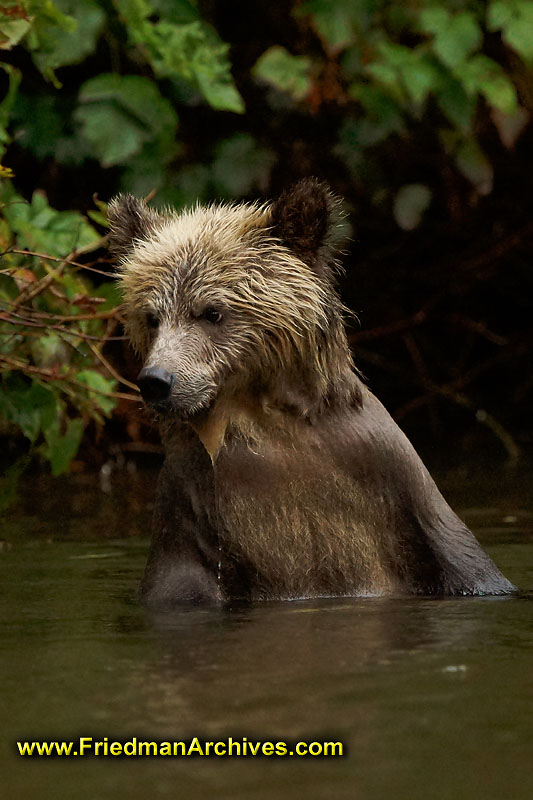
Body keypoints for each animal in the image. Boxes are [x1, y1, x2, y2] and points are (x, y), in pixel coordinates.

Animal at [107, 180, 512, 608]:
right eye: (152, 316)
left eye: (211, 311)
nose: (157, 380)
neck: (258, 419)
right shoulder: (188, 507)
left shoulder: (387, 473)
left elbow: (464, 562)